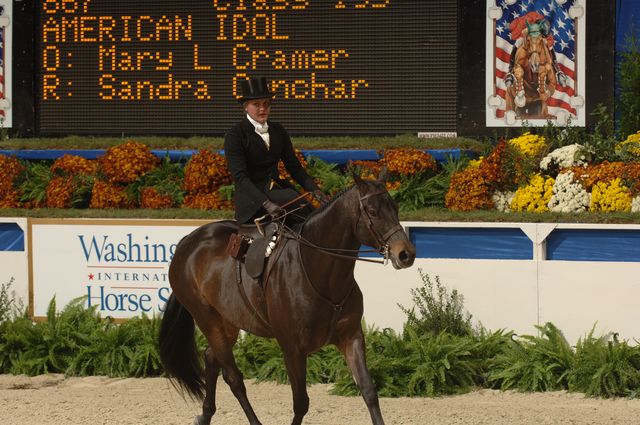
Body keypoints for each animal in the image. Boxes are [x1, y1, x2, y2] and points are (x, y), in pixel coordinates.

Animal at [159, 171, 418, 422]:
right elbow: (301, 403)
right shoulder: (293, 349)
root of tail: (187, 242)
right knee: (233, 377)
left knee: (211, 357)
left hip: (228, 321)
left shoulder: (351, 337)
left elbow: (368, 391)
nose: (406, 254)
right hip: (207, 318)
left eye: (395, 208)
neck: (319, 272)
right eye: (373, 211)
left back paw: (205, 414)